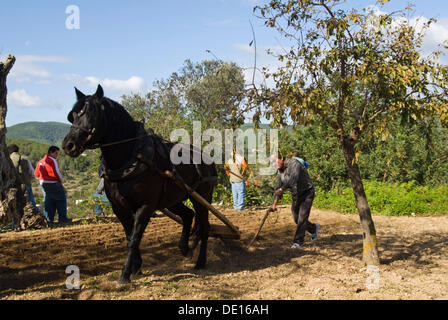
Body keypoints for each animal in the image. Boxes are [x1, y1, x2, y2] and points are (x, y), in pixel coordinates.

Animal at [62, 84, 217, 282]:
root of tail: (206, 157)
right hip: (172, 199)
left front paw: (125, 275)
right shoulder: (119, 208)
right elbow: (130, 237)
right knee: (188, 215)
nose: (68, 145)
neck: (130, 159)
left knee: (204, 227)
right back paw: (183, 247)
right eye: (72, 115)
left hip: (202, 198)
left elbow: (135, 238)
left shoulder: (146, 206)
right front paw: (136, 267)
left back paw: (200, 262)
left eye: (91, 114)